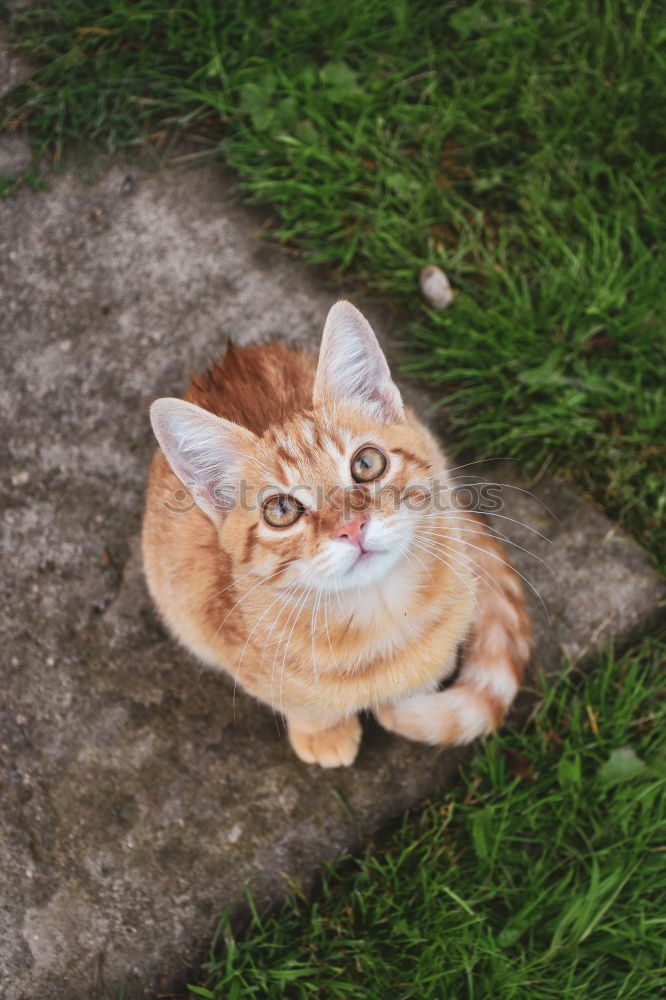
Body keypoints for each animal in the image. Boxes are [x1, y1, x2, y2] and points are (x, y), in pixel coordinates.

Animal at [143, 300, 532, 768]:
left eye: (367, 463)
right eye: (280, 510)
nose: (351, 527)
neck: (382, 615)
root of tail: (230, 358)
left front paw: (402, 700)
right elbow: (300, 702)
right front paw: (323, 731)